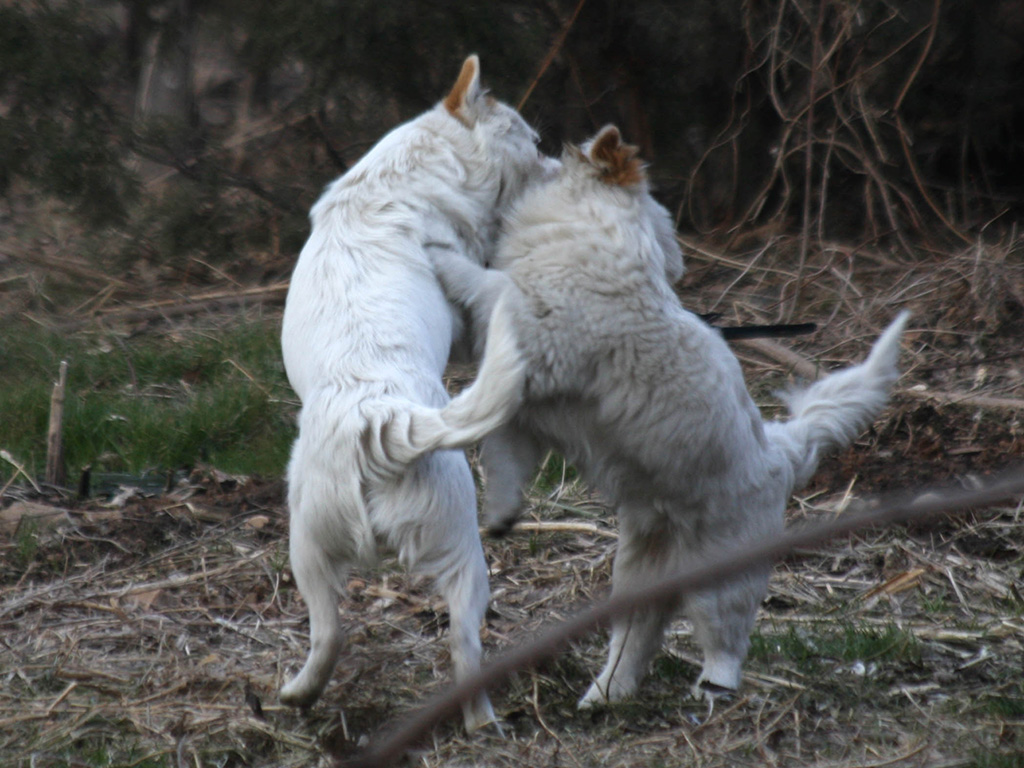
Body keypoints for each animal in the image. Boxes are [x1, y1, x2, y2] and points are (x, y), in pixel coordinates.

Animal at [278, 54, 552, 729]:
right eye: (535, 142)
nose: (559, 164)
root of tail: (380, 426)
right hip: (463, 551)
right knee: (465, 644)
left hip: (308, 547)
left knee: (335, 634)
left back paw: (301, 694)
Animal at [428, 124, 909, 708]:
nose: (538, 149)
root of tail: (781, 453)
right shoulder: (527, 409)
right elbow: (503, 460)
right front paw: (500, 515)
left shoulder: (534, 330)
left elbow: (484, 283)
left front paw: (438, 252)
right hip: (633, 579)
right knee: (636, 639)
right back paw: (605, 693)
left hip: (720, 581)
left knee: (726, 641)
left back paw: (713, 686)